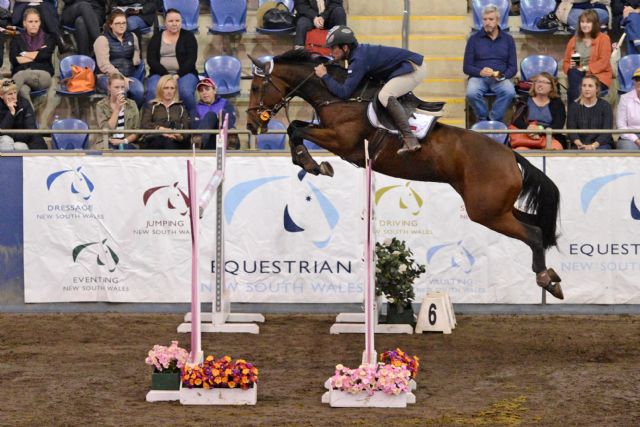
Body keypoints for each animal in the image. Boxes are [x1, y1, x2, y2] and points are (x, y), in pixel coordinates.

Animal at [245, 50, 564, 299]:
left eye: (257, 87)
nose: (250, 125)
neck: (338, 97)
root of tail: (510, 155)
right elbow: (295, 128)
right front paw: (310, 163)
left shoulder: (342, 141)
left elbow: (296, 129)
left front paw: (313, 164)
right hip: (496, 207)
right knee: (536, 226)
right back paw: (551, 277)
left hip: (486, 211)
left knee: (533, 233)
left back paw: (545, 279)